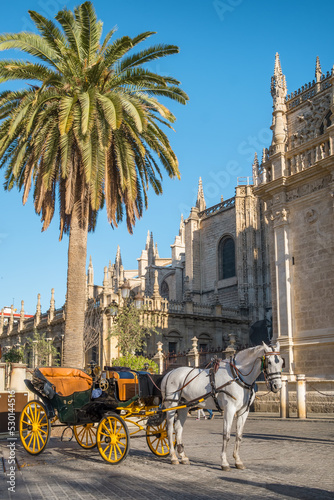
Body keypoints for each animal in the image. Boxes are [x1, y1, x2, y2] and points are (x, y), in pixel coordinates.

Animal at [160, 342, 284, 470]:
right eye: (269, 362)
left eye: (281, 362)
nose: (277, 386)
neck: (237, 376)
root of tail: (169, 373)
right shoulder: (229, 409)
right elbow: (226, 435)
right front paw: (224, 462)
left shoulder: (243, 411)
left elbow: (239, 435)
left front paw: (238, 460)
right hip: (171, 405)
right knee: (169, 429)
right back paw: (173, 457)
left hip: (184, 406)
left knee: (178, 428)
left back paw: (183, 456)